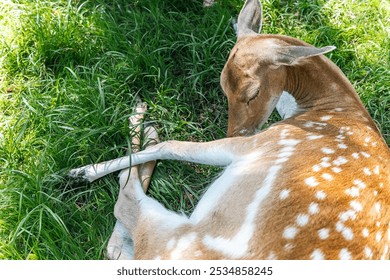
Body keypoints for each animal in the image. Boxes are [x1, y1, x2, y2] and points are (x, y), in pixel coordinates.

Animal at [69, 0, 390, 260]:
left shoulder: (263, 141)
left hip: (174, 234)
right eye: (223, 86)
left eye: (253, 92)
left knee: (125, 207)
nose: (236, 132)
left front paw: (85, 170)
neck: (333, 105)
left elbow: (173, 146)